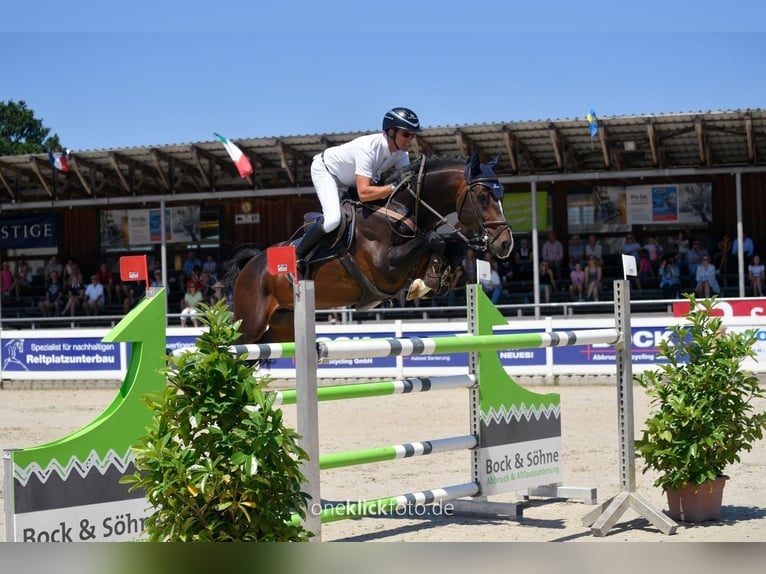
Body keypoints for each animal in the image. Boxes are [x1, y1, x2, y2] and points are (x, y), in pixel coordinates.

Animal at [230, 152, 516, 346]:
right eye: (482, 196)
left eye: (502, 196)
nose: (505, 243)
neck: (399, 211)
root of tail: (250, 266)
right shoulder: (385, 269)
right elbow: (434, 238)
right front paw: (426, 282)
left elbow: (449, 244)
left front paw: (431, 280)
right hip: (250, 323)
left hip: (282, 326)